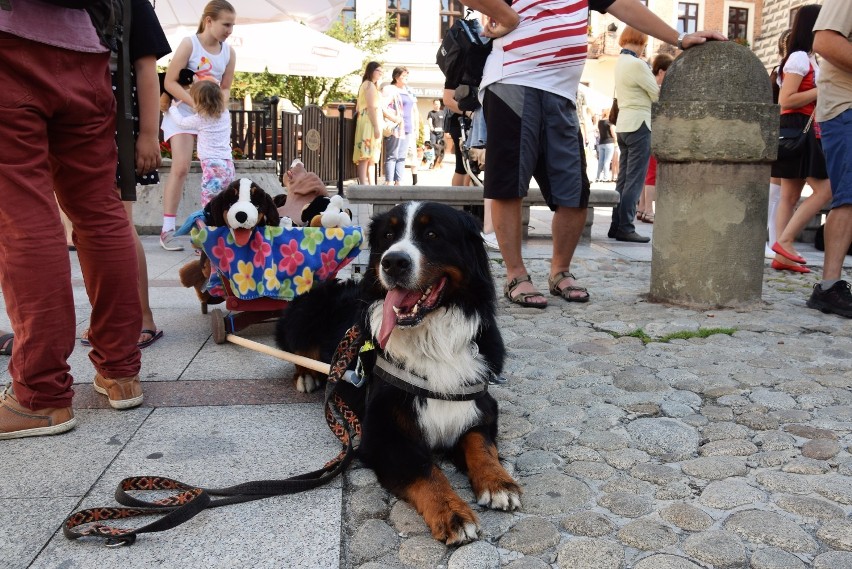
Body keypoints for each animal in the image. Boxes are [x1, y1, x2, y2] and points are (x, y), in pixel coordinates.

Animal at [276, 202, 524, 544]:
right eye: (388, 236)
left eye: (432, 234)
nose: (392, 262)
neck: (431, 338)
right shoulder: (381, 433)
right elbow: (425, 470)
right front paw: (453, 514)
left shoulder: (480, 406)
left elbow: (481, 445)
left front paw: (499, 483)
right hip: (301, 319)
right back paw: (307, 377)